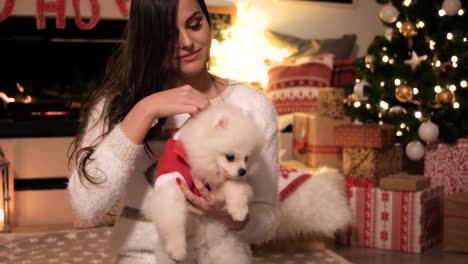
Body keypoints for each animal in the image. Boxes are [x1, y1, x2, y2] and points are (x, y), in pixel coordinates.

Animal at [141, 102, 266, 264]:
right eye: (230, 157)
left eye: (247, 158)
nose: (243, 171)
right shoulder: (172, 180)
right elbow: (173, 220)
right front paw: (177, 249)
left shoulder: (224, 181)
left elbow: (235, 187)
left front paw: (239, 211)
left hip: (225, 250)